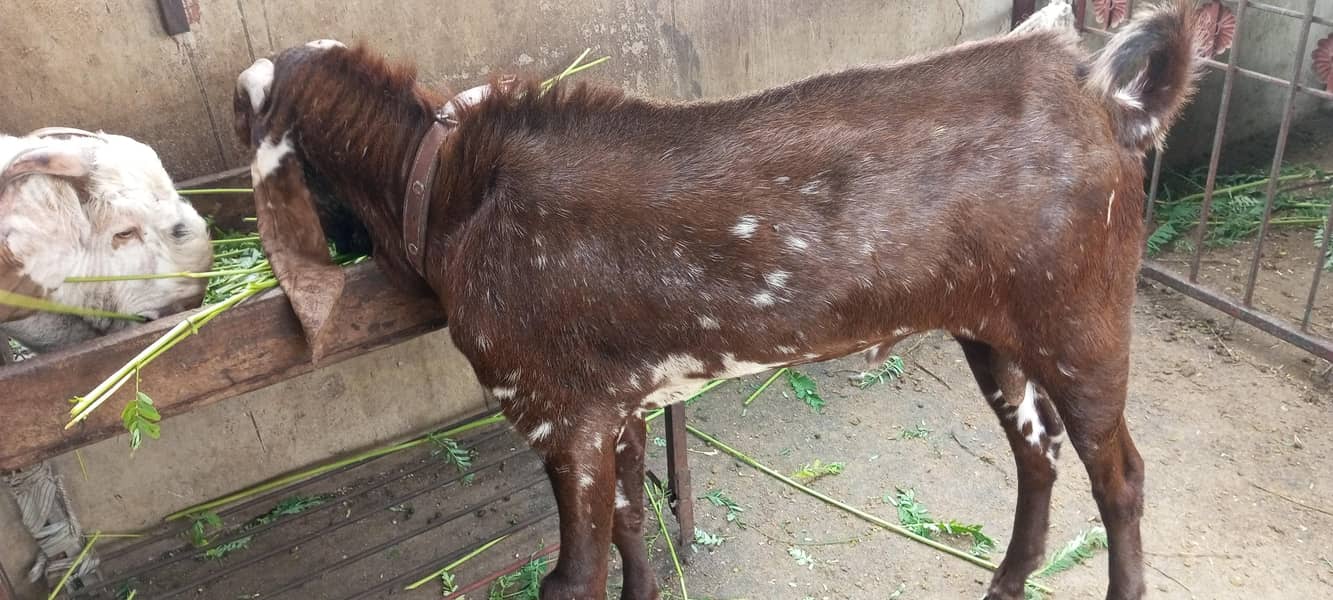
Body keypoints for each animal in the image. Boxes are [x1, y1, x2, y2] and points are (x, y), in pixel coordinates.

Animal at [233, 3, 1199, 598]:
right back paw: (1003, 580)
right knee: (1037, 452)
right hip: (991, 329)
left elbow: (569, 575)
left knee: (1121, 474)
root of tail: (1114, 106)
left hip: (1081, 318)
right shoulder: (617, 404)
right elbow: (631, 526)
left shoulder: (555, 411)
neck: (446, 189)